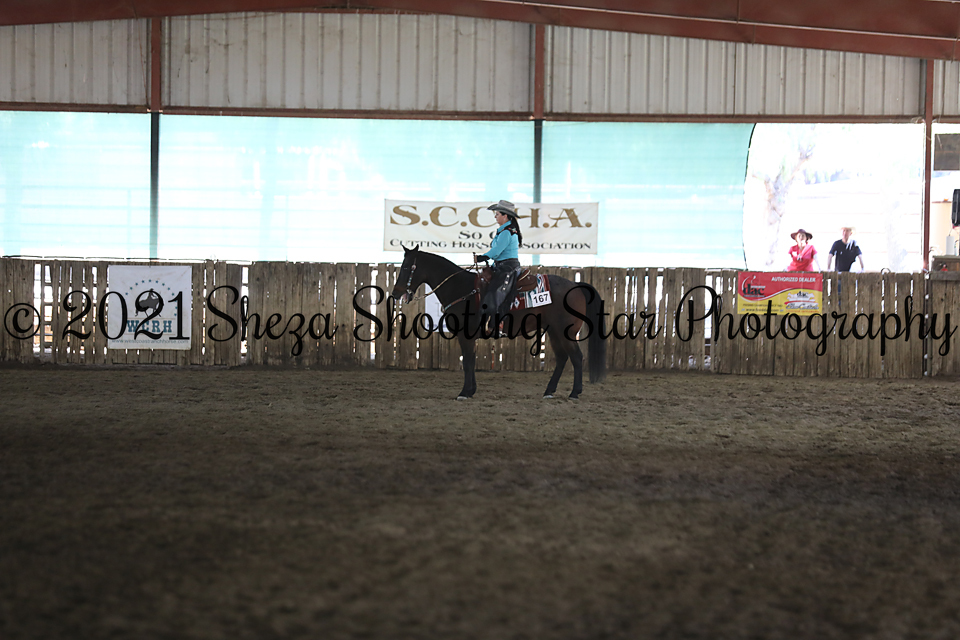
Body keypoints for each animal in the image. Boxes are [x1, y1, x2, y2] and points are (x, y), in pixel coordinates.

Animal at [390, 246, 606, 400]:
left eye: (407, 267)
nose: (395, 293)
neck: (462, 288)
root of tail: (575, 285)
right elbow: (471, 360)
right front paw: (471, 390)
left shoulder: (465, 335)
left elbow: (467, 362)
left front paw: (464, 392)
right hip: (553, 332)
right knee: (562, 358)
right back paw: (549, 391)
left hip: (565, 332)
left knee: (576, 357)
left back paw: (574, 393)